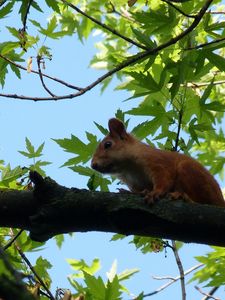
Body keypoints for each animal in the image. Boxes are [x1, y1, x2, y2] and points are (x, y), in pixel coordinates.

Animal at [91, 117, 225, 206]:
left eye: (108, 144)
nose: (93, 165)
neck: (127, 168)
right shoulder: (133, 183)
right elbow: (138, 190)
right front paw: (130, 192)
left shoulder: (157, 162)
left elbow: (164, 179)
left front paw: (155, 192)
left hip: (191, 173)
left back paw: (182, 196)